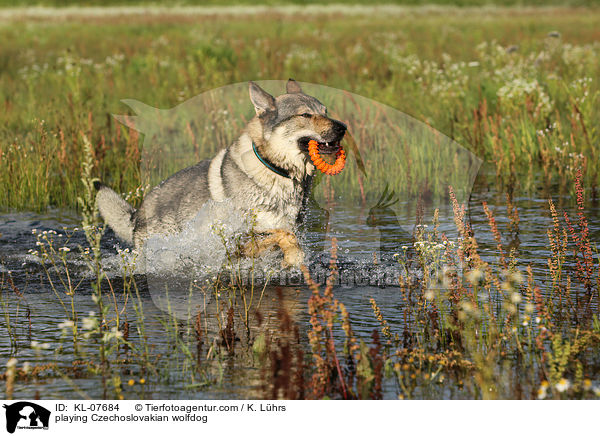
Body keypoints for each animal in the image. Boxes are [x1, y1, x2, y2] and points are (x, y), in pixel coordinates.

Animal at [94, 80, 346, 268]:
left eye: (325, 112)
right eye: (305, 115)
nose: (343, 127)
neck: (275, 170)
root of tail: (137, 213)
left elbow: (286, 238)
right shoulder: (238, 239)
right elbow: (285, 236)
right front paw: (294, 258)